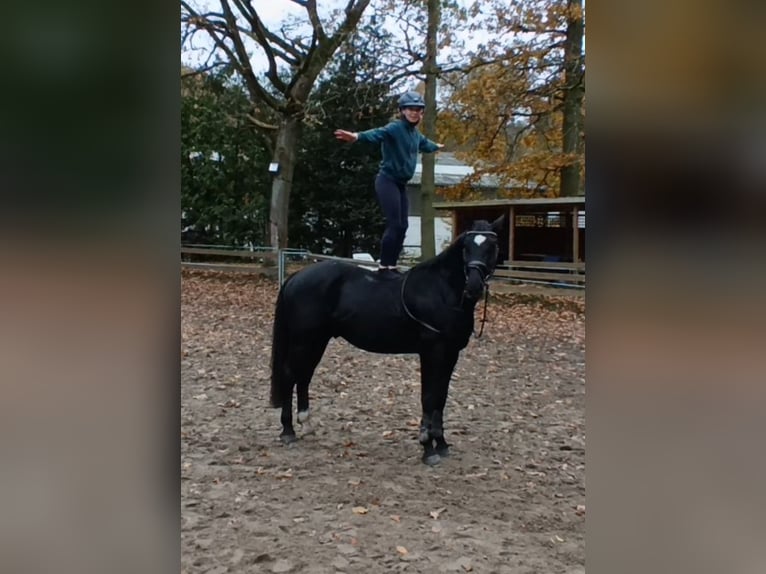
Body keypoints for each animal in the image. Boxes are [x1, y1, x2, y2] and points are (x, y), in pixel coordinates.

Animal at [270, 218, 504, 466]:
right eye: (466, 248)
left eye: (492, 247)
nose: (474, 286)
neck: (441, 290)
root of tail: (295, 278)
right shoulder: (432, 351)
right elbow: (429, 397)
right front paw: (427, 448)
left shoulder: (451, 353)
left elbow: (441, 397)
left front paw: (441, 443)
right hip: (304, 340)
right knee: (290, 376)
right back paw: (288, 431)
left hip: (316, 340)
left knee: (303, 376)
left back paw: (305, 424)